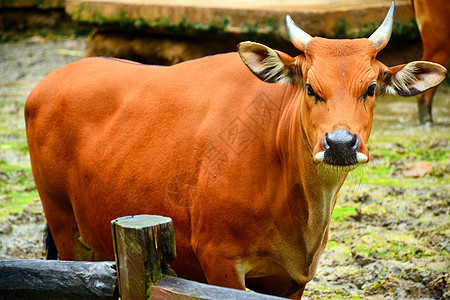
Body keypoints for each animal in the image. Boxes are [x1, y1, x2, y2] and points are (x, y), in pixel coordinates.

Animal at [25, 3, 446, 298]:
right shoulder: (220, 261)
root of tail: (45, 85)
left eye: (371, 88)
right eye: (310, 87)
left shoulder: (291, 280)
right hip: (64, 228)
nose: (340, 143)